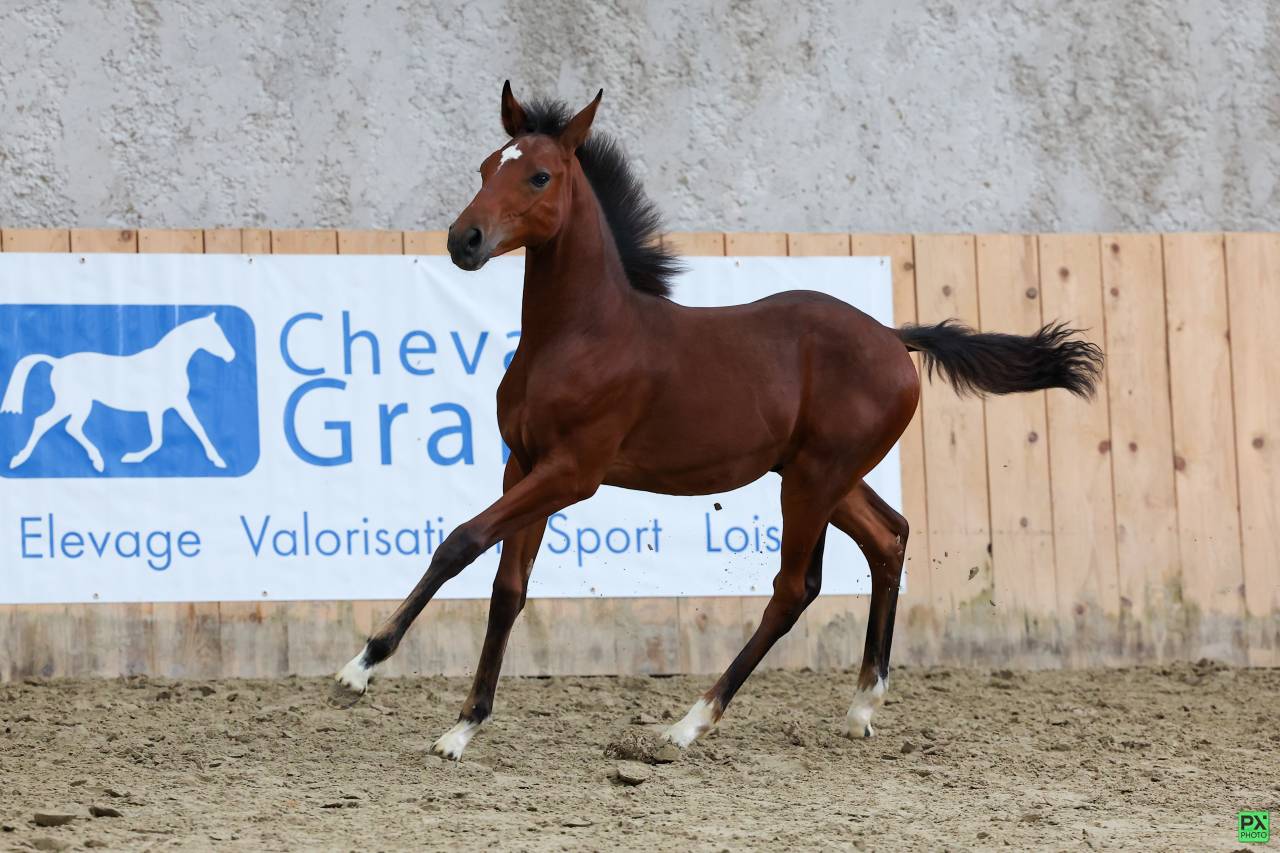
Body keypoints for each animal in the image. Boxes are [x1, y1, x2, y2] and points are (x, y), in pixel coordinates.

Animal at [2, 313, 236, 472]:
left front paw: (218, 460)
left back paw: (96, 461)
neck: (164, 364)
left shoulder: (176, 404)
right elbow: (158, 440)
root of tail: (57, 362)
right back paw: (19, 460)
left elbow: (197, 429)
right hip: (72, 403)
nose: (232, 355)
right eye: (216, 334)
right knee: (44, 422)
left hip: (79, 405)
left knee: (71, 427)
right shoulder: (157, 409)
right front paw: (132, 457)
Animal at [331, 83, 1103, 761]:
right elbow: (506, 588)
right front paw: (463, 728)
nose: (464, 239)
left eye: (540, 176)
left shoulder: (572, 472)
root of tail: (894, 337)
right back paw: (859, 707)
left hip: (813, 480)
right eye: (488, 166)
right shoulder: (522, 464)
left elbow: (460, 541)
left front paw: (360, 668)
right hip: (822, 475)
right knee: (889, 539)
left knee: (794, 588)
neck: (582, 334)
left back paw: (690, 722)